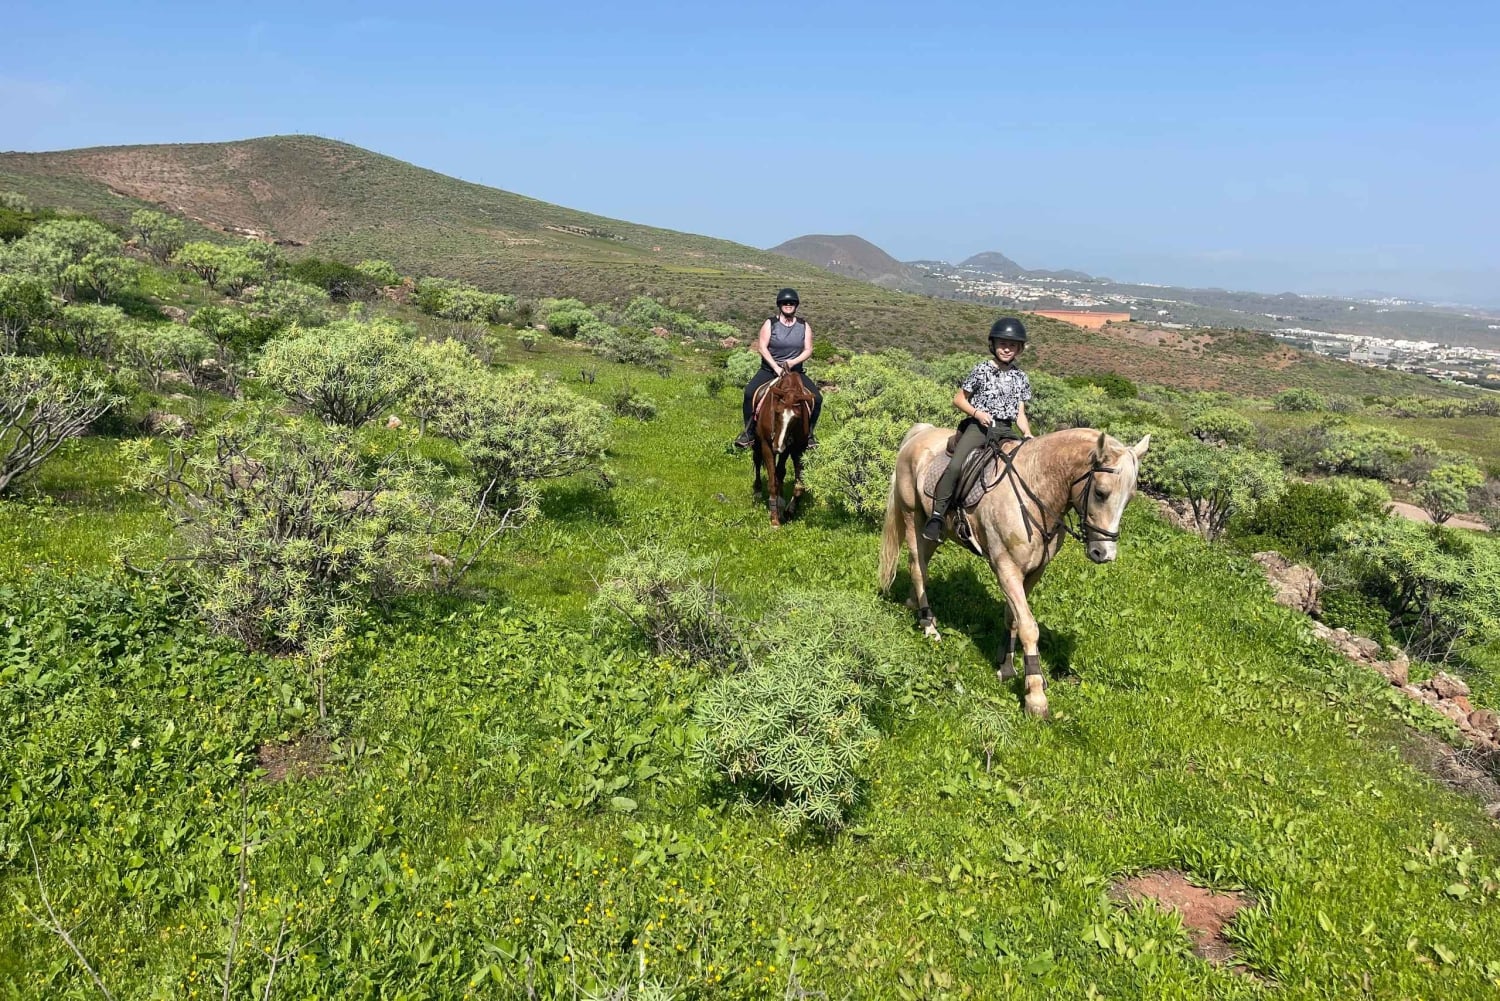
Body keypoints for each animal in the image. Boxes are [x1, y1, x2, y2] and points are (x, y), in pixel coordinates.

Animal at [751, 369, 815, 527]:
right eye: (777, 412)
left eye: (796, 418)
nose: (778, 446)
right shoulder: (767, 446)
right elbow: (772, 482)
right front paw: (774, 519)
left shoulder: (798, 449)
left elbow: (798, 485)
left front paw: (788, 511)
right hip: (757, 443)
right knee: (757, 461)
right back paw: (757, 491)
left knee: (780, 471)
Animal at [879, 425, 1150, 717]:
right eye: (1100, 493)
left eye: (1130, 498)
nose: (1104, 553)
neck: (1036, 492)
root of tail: (921, 432)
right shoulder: (1005, 567)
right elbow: (1029, 627)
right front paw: (1035, 696)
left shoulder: (1032, 572)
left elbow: (1014, 619)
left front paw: (1006, 666)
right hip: (912, 516)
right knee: (918, 568)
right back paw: (929, 626)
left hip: (933, 531)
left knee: (921, 565)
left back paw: (914, 606)